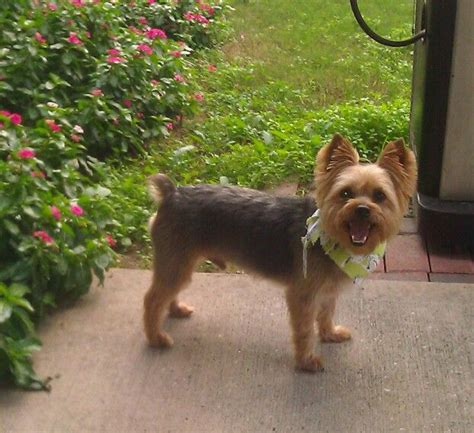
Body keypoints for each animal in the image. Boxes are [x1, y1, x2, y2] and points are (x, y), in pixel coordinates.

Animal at [143, 133, 414, 370]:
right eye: (345, 193)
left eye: (379, 196)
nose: (362, 209)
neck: (332, 237)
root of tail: (172, 193)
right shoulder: (302, 296)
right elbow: (304, 329)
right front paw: (306, 361)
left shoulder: (327, 291)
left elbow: (326, 314)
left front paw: (329, 334)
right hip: (176, 262)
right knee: (152, 299)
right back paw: (156, 338)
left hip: (178, 264)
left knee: (167, 293)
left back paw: (175, 309)